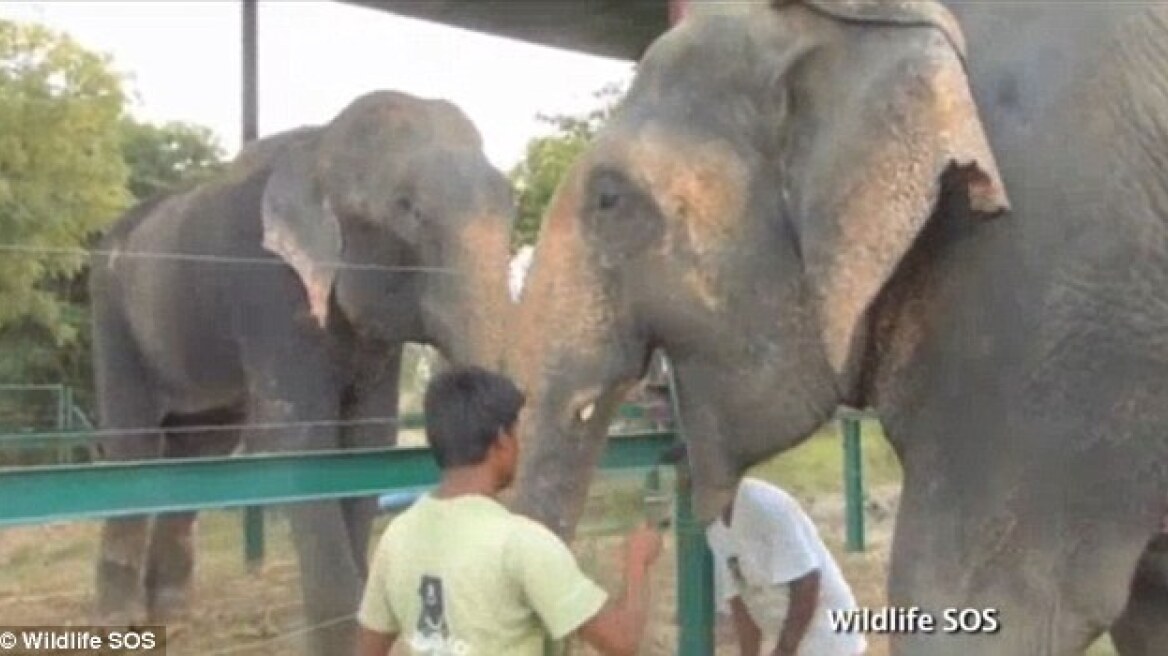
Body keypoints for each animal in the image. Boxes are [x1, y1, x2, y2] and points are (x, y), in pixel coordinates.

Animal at [91, 90, 511, 653]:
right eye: (409, 209)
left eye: (510, 201)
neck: (321, 145)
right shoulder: (267, 290)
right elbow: (302, 441)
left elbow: (366, 442)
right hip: (114, 319)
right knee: (132, 445)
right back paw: (120, 624)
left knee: (201, 448)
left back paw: (173, 623)